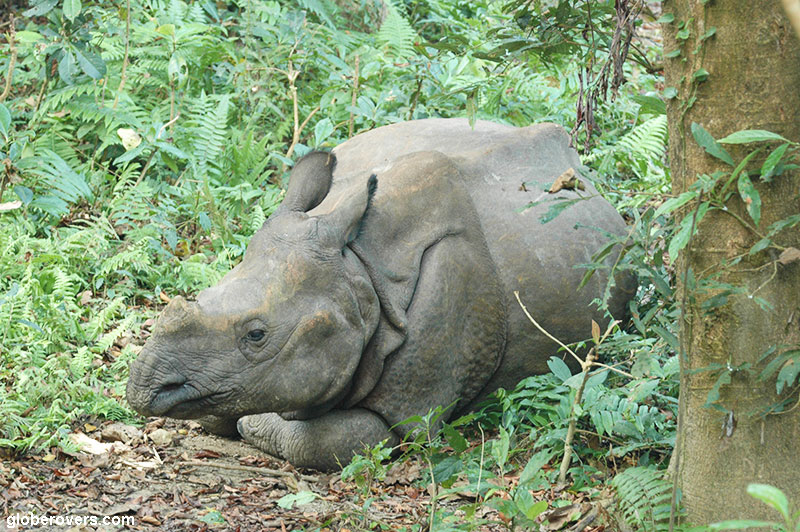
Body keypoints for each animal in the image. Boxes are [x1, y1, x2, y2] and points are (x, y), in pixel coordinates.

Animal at [126, 118, 634, 470]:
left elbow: (316, 439)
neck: (359, 273)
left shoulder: (408, 413)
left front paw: (259, 424)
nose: (145, 387)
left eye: (256, 335)